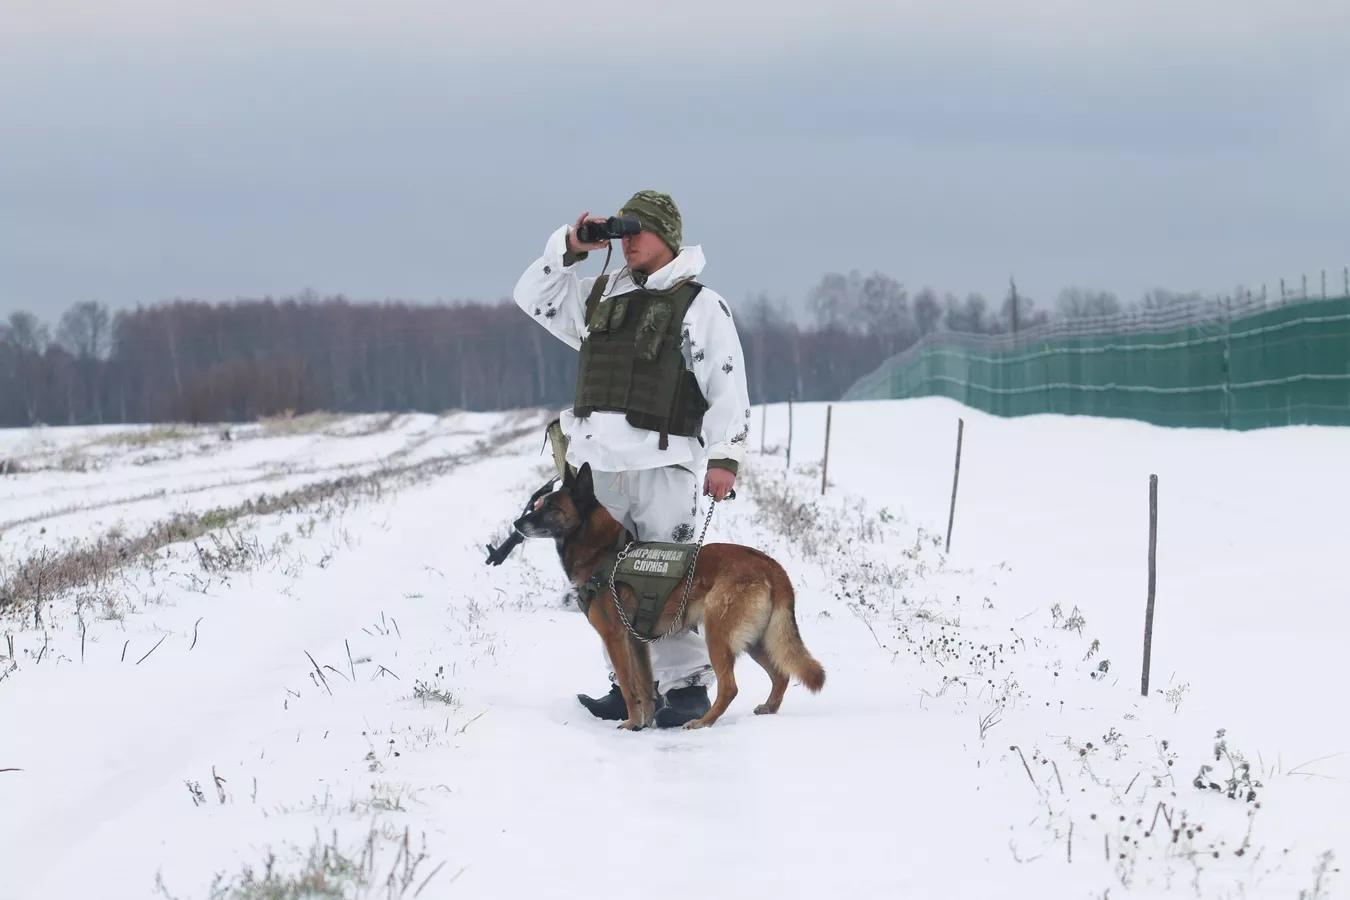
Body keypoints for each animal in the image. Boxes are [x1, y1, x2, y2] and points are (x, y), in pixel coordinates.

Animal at [510, 464, 820, 734]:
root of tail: (771, 565)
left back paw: (702, 722)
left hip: (718, 635)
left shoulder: (615, 638)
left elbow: (628, 686)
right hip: (756, 640)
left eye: (552, 507)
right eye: (540, 504)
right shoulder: (637, 643)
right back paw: (768, 708)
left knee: (730, 687)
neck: (605, 552)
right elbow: (645, 687)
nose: (516, 523)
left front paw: (631, 723)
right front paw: (644, 723)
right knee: (781, 674)